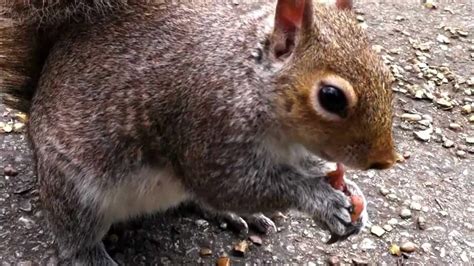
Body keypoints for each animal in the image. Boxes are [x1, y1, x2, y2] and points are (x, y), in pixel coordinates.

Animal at [0, 0, 396, 264]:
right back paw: (90, 255)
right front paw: (323, 200)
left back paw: (236, 215)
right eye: (331, 97)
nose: (385, 161)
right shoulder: (205, 124)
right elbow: (231, 184)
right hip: (74, 191)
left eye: (384, 72)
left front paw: (351, 193)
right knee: (73, 235)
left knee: (197, 199)